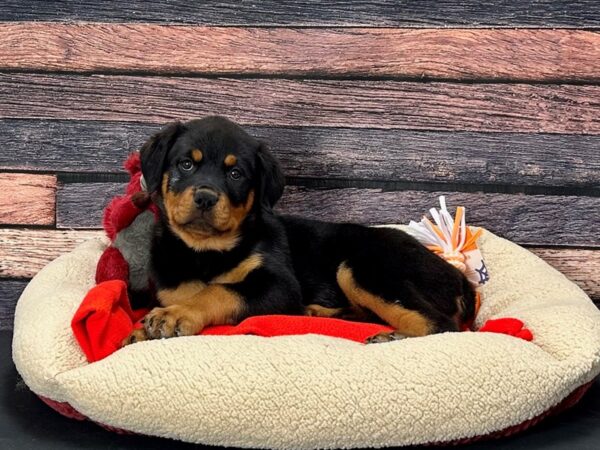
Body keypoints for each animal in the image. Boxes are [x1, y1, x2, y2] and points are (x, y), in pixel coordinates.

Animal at [124, 116, 476, 344]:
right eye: (186, 164)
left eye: (236, 174)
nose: (206, 197)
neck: (205, 252)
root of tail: (458, 276)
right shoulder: (174, 288)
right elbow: (196, 292)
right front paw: (143, 330)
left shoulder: (279, 285)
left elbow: (220, 291)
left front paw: (173, 317)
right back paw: (320, 313)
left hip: (362, 266)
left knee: (443, 325)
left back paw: (394, 336)